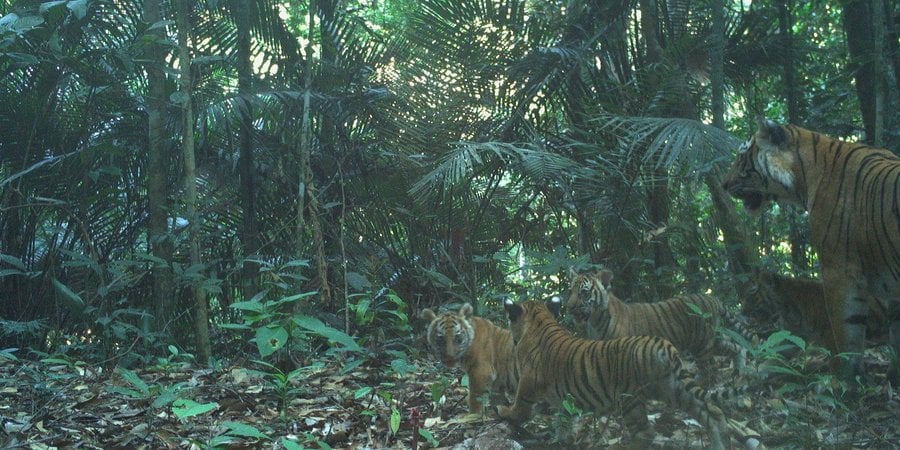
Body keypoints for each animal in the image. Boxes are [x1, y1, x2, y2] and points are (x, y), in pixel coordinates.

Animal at [499, 297, 752, 450]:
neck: (540, 321)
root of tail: (663, 346)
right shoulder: (562, 399)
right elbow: (565, 419)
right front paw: (563, 439)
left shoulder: (527, 385)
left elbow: (519, 407)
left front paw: (504, 411)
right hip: (673, 388)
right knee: (712, 412)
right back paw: (721, 443)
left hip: (630, 399)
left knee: (645, 432)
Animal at [566, 268, 754, 378]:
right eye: (571, 291)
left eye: (584, 292)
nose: (569, 306)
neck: (595, 320)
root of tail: (710, 297)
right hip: (711, 340)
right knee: (737, 345)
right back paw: (740, 370)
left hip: (703, 344)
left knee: (710, 367)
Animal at [721, 117, 899, 378]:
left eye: (742, 156)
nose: (723, 184)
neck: (804, 176)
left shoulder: (838, 271)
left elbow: (846, 334)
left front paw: (843, 378)